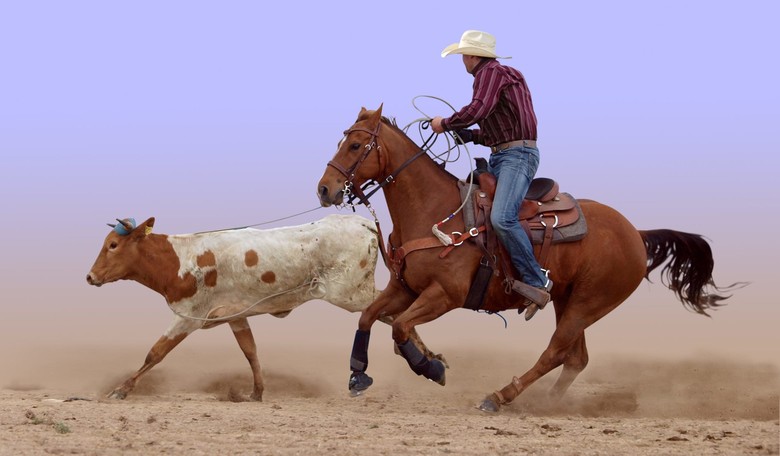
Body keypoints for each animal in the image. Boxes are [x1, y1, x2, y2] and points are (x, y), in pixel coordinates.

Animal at [316, 105, 738, 412]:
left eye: (356, 145)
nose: (325, 189)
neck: (437, 211)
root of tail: (636, 233)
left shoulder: (445, 295)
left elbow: (400, 327)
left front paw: (432, 367)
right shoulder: (405, 288)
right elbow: (370, 316)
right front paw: (358, 376)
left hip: (588, 303)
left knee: (556, 352)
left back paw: (501, 396)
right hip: (570, 300)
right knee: (576, 358)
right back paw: (547, 403)